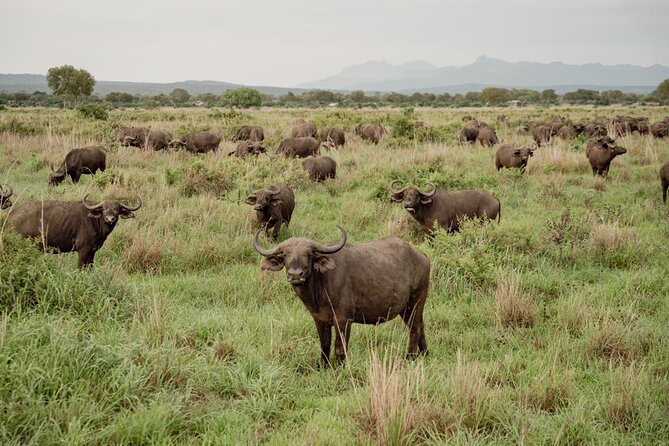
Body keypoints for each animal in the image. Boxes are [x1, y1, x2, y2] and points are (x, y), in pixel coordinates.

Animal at [6, 194, 142, 268]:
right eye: (104, 209)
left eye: (117, 209)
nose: (110, 219)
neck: (96, 222)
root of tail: (11, 215)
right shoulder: (82, 251)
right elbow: (80, 268)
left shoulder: (92, 252)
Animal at [253, 226, 430, 366]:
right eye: (285, 255)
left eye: (309, 254)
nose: (296, 275)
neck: (320, 288)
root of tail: (421, 255)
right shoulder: (319, 320)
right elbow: (324, 344)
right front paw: (323, 366)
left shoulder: (344, 320)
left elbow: (340, 348)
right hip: (407, 309)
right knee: (420, 327)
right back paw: (425, 354)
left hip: (415, 303)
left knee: (414, 329)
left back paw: (410, 358)